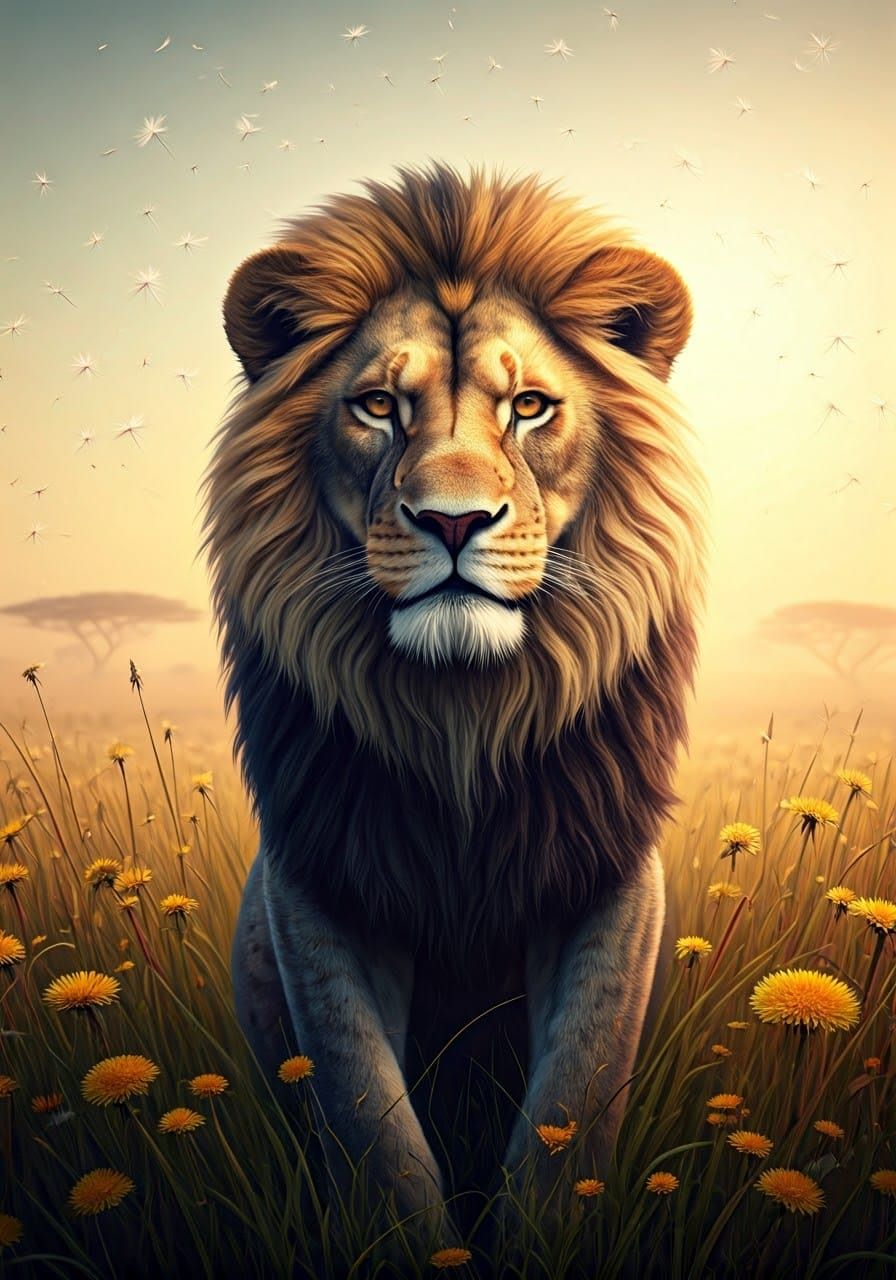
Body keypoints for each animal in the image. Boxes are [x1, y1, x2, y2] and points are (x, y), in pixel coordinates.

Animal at [203, 162, 705, 1243]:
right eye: (378, 405)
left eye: (529, 406)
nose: (452, 519)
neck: (462, 718)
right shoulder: (319, 876)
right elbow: (368, 1118)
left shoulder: (608, 877)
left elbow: (571, 1103)